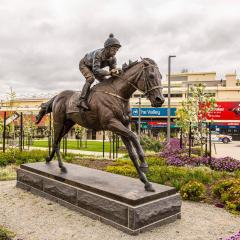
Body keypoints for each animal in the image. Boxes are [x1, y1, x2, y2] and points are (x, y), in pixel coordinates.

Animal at [37, 57, 165, 191]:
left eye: (161, 76)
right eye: (151, 76)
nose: (160, 100)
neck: (118, 94)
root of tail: (57, 96)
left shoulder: (123, 126)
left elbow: (132, 152)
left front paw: (146, 182)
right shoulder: (111, 123)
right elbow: (134, 136)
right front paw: (144, 165)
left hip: (68, 124)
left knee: (56, 141)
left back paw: (49, 159)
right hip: (58, 122)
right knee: (55, 142)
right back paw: (61, 166)